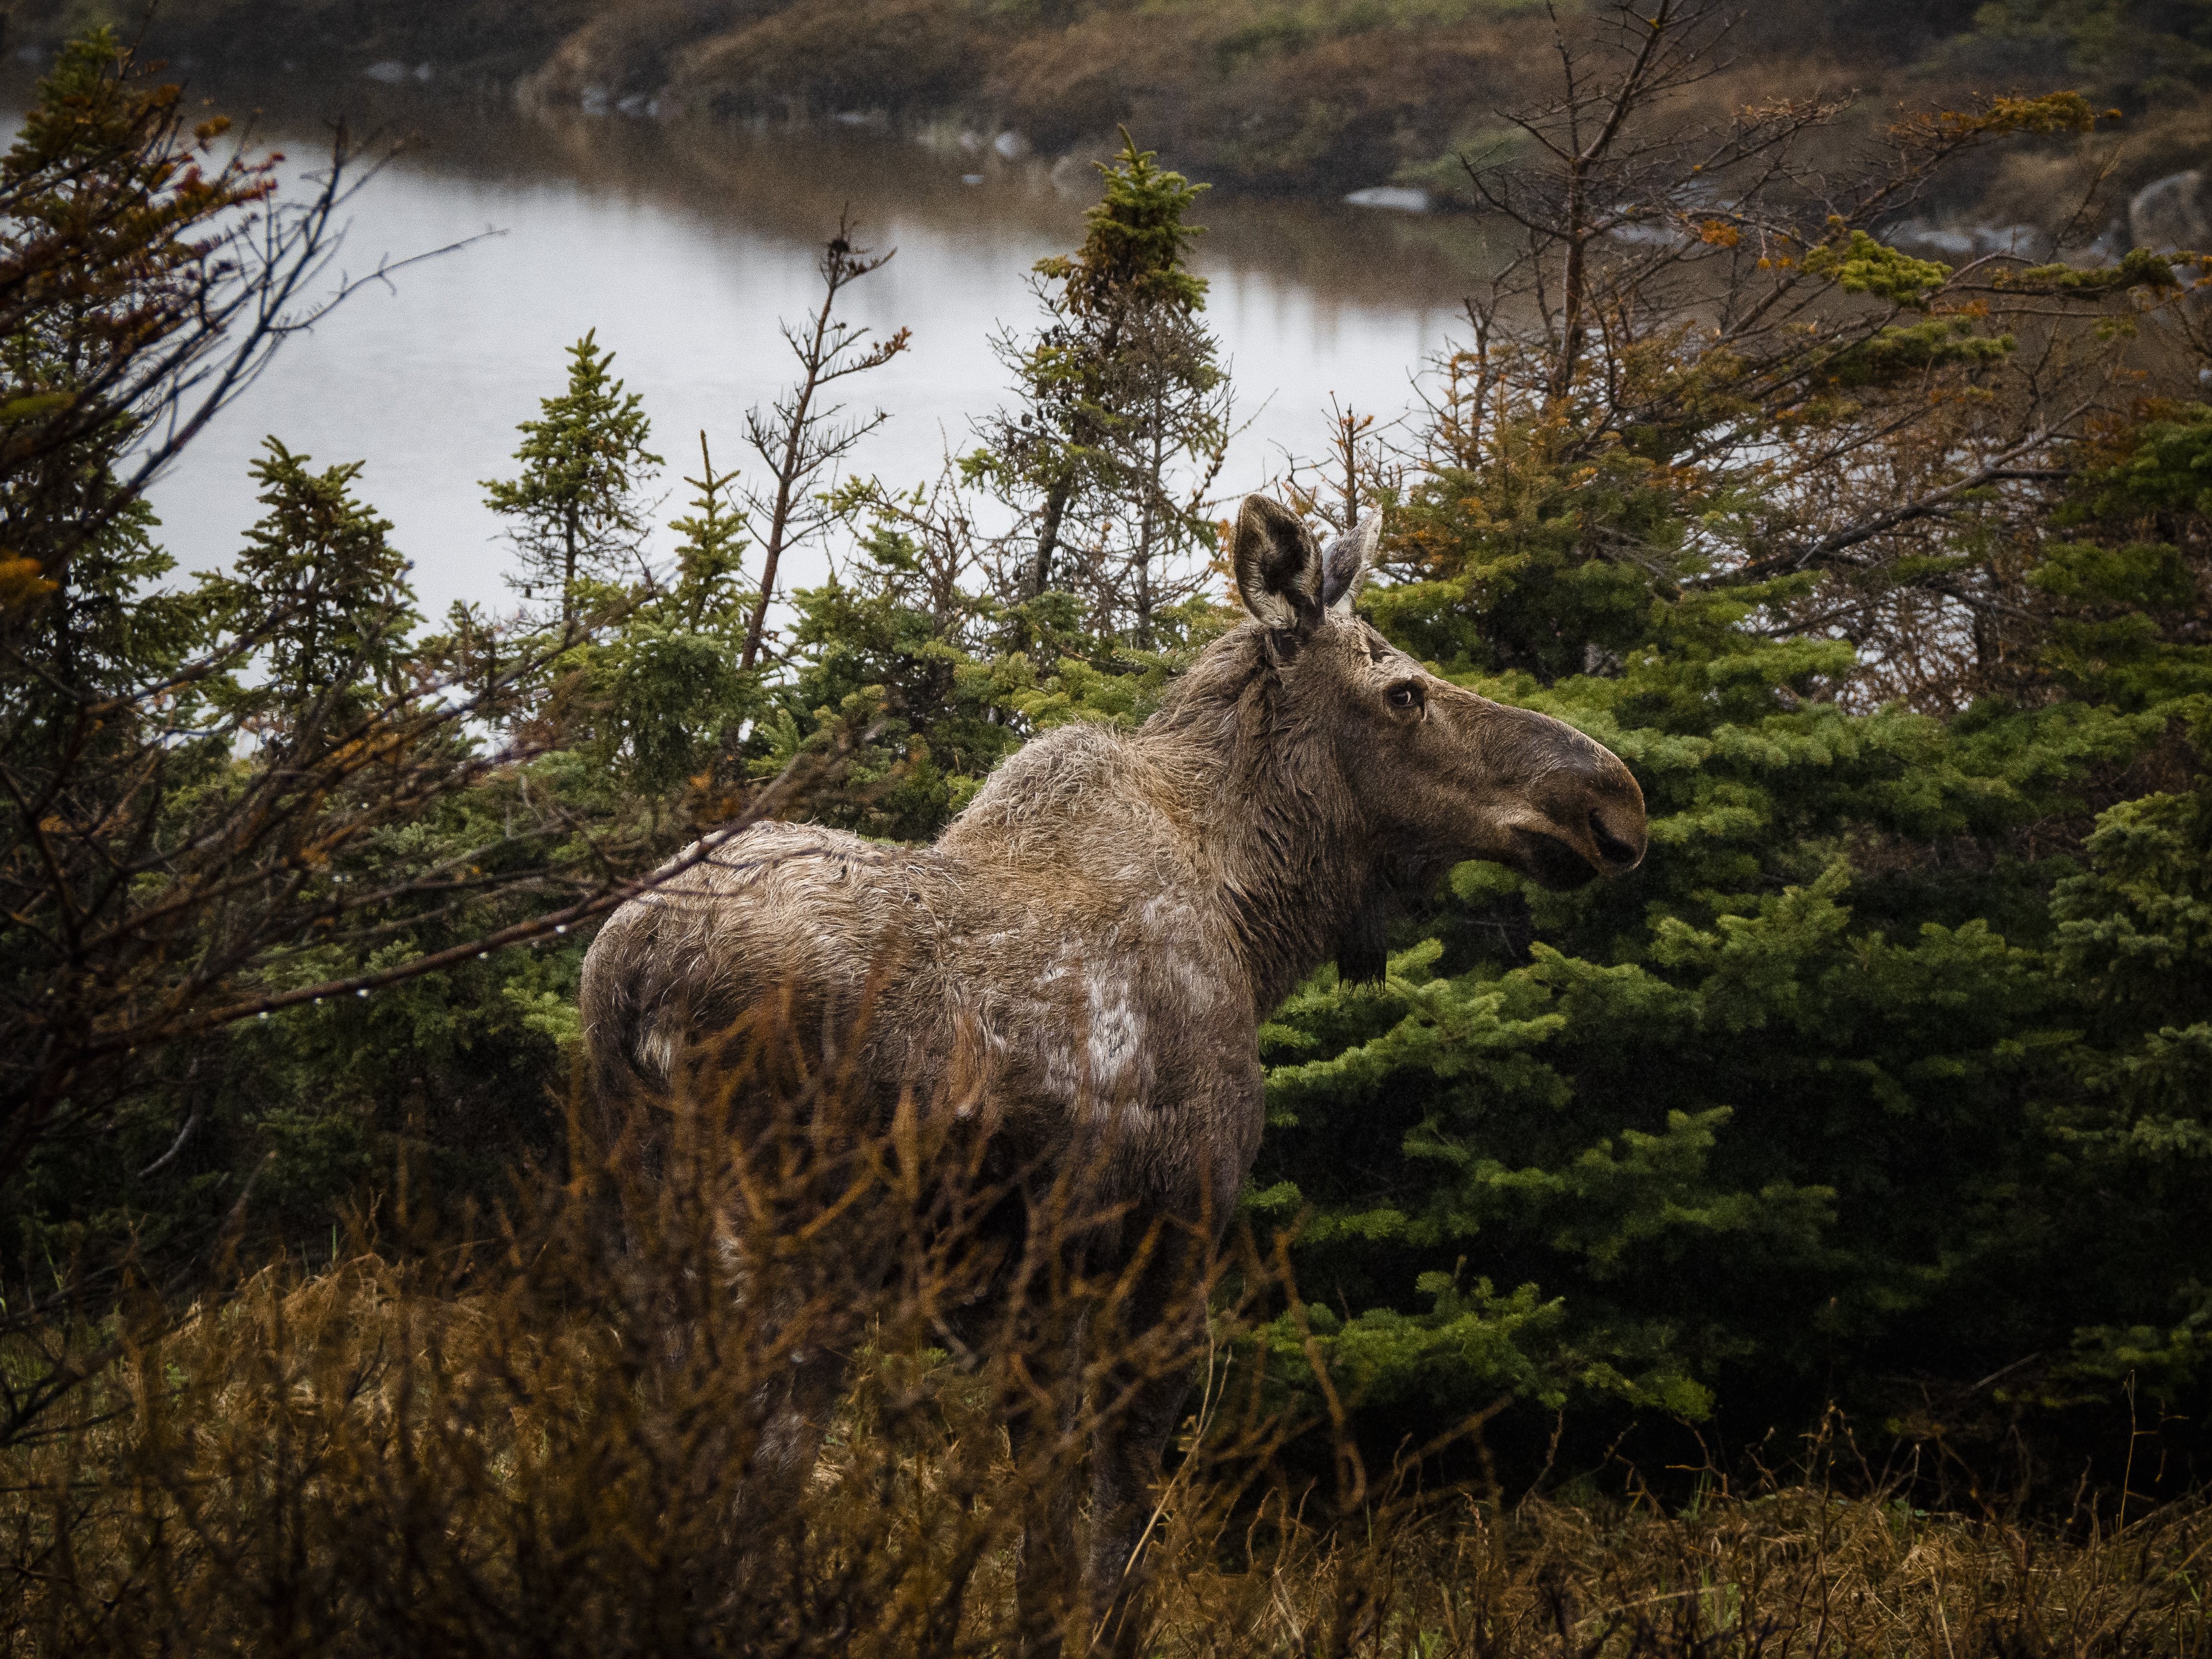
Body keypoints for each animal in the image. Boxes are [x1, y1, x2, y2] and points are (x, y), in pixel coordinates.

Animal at [578, 494, 1648, 1653]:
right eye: (1404, 691)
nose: (1613, 800)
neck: (1256, 924)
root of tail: (633, 974)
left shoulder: (1032, 1289)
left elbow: (1039, 1535)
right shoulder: (1178, 1240)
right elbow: (1121, 1522)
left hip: (646, 1250)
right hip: (803, 1251)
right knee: (750, 1495)